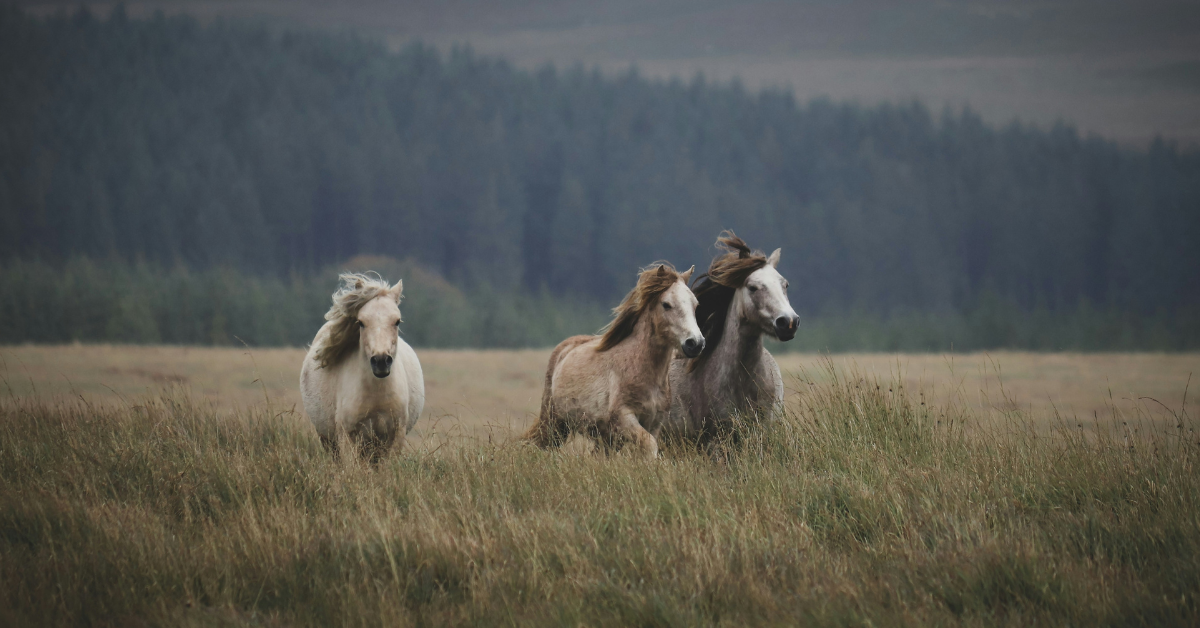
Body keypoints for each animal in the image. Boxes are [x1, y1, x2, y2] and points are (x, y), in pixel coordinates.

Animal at [300, 272, 425, 461]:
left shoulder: (395, 437)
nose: (381, 361)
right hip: (329, 440)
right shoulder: (347, 437)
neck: (376, 394)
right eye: (360, 322)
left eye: (397, 321)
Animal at [523, 263, 704, 460]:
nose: (695, 343)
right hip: (554, 423)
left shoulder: (655, 422)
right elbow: (649, 445)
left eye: (695, 304)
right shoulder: (624, 418)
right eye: (666, 304)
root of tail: (564, 348)